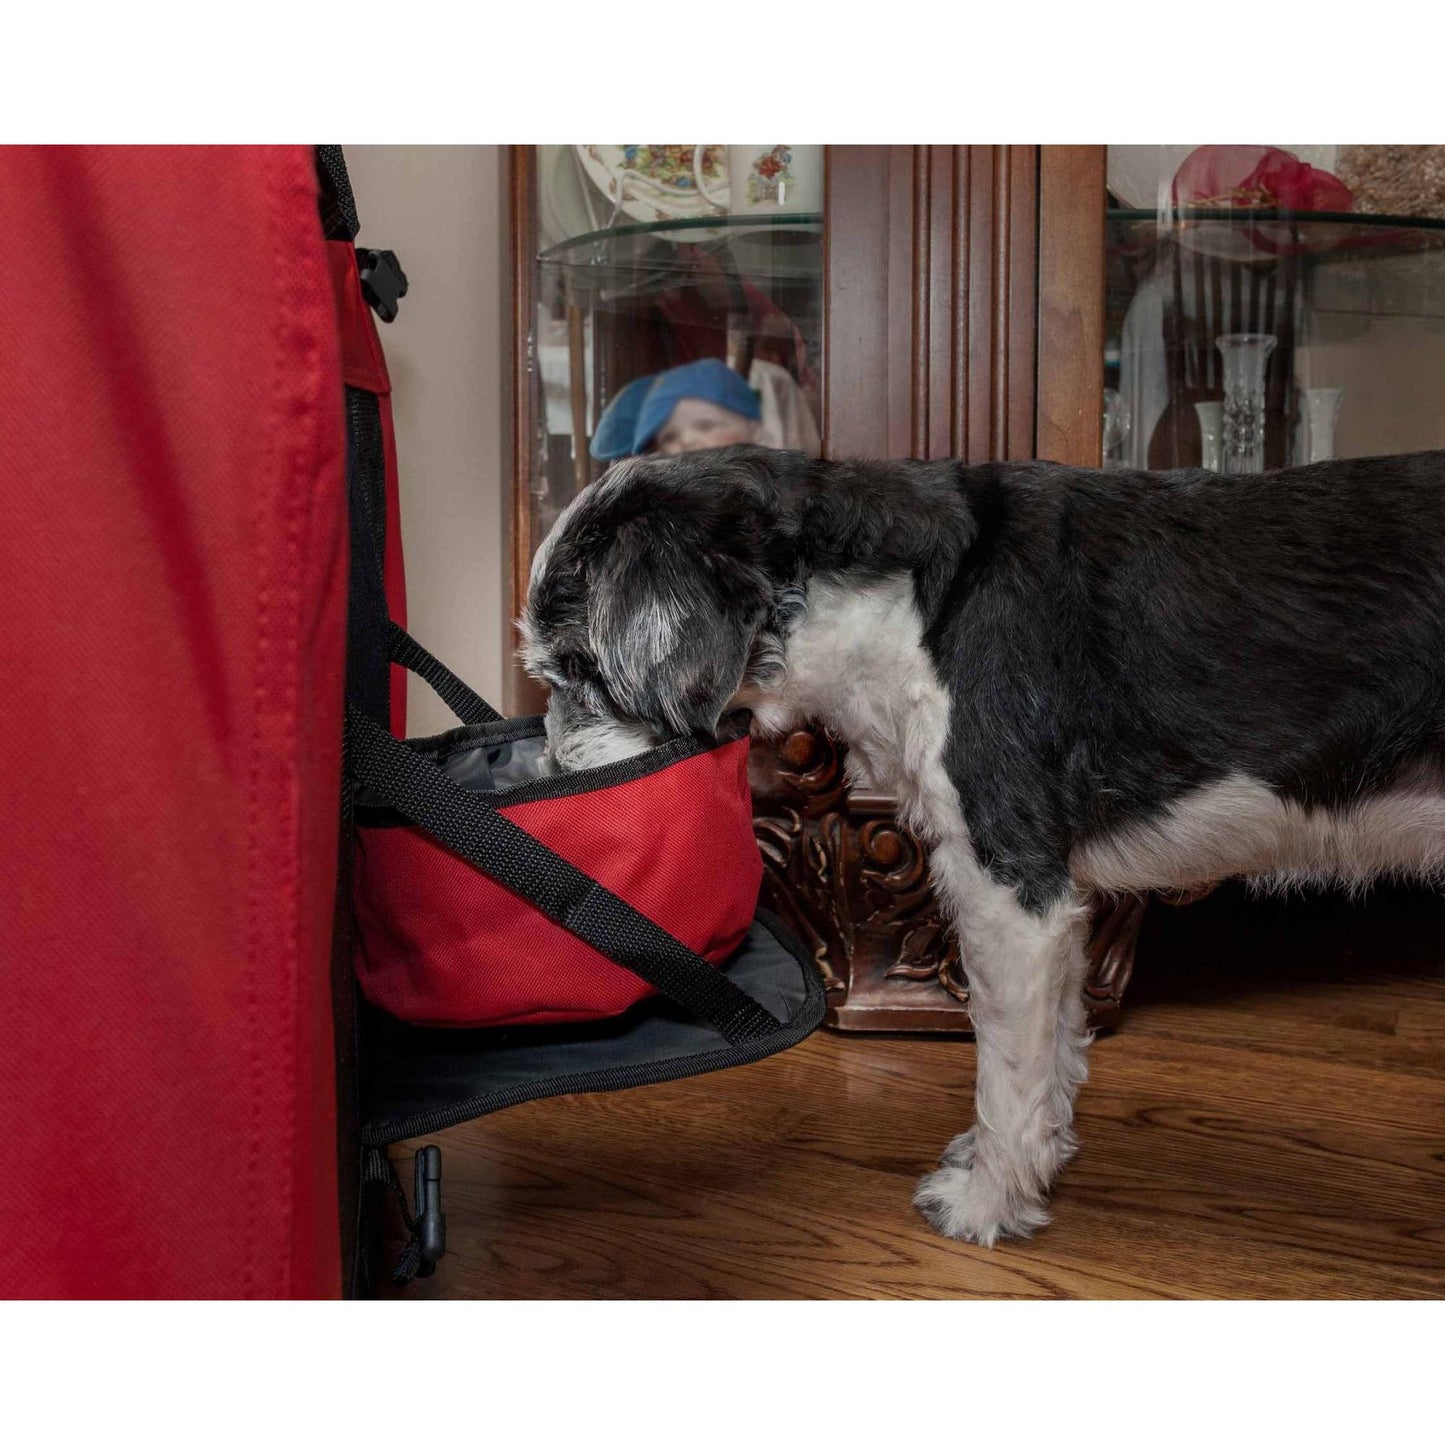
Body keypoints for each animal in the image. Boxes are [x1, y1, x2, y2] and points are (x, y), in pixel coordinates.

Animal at [523, 445, 1445, 1248]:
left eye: (579, 665)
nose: (551, 774)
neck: (905, 609)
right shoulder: (1055, 901)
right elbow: (1054, 1046)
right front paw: (1036, 1161)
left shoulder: (1009, 883)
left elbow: (1005, 1064)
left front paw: (986, 1202)